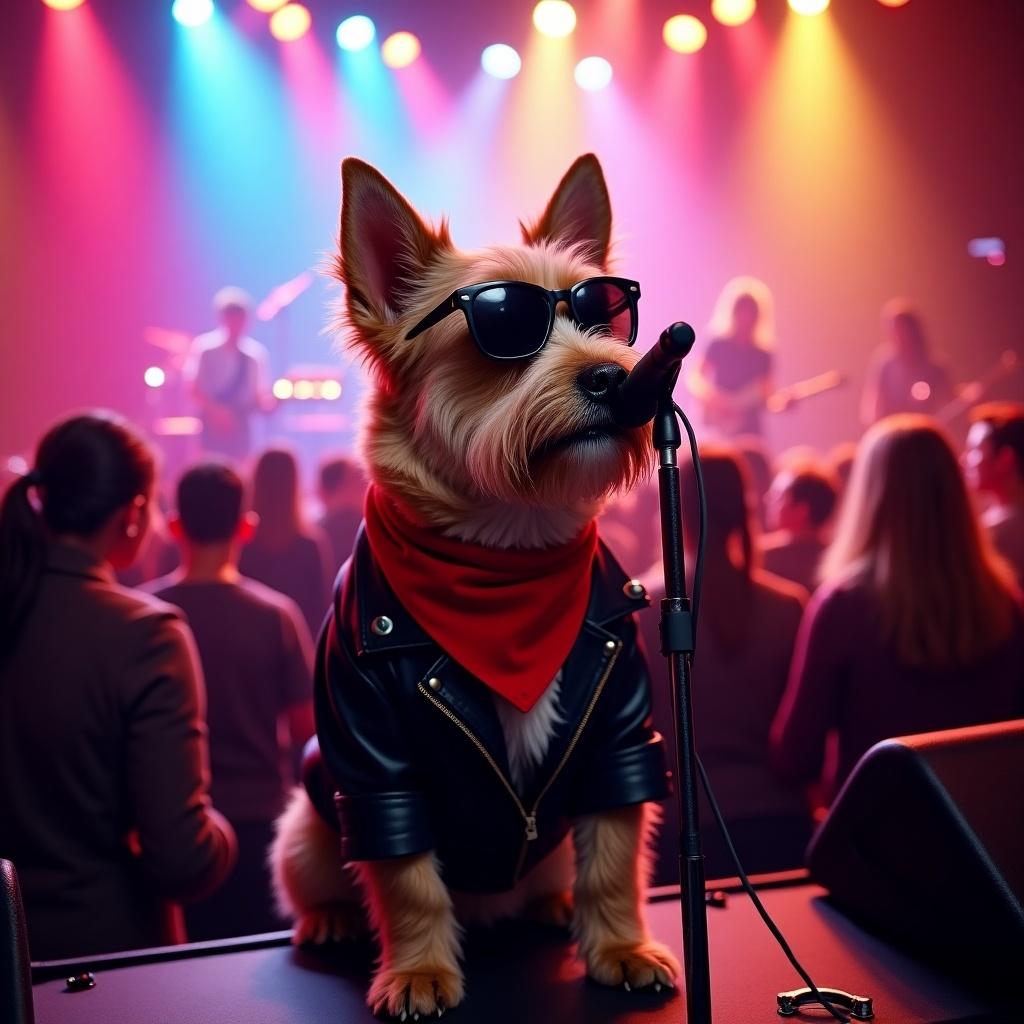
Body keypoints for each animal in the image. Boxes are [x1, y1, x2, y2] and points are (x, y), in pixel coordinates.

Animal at [272, 149, 679, 1015]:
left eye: (602, 315)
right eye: (506, 329)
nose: (611, 375)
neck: (508, 560)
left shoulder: (620, 731)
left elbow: (614, 854)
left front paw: (620, 946)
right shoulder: (375, 768)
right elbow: (406, 879)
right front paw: (420, 970)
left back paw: (553, 903)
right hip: (306, 826)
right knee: (323, 877)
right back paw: (329, 917)